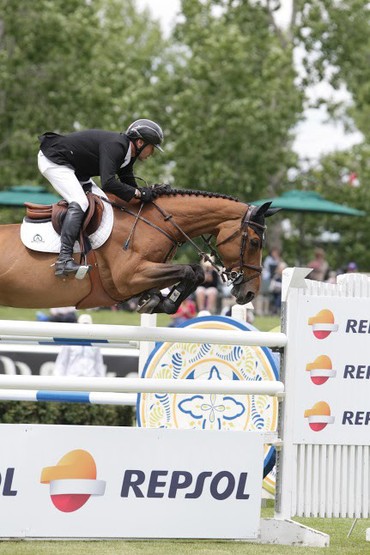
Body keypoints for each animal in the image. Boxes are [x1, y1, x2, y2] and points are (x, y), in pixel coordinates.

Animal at [0, 190, 278, 312]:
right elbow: (191, 271)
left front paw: (157, 300)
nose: (250, 293)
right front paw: (162, 303)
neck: (156, 222)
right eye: (255, 242)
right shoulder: (128, 277)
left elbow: (193, 272)